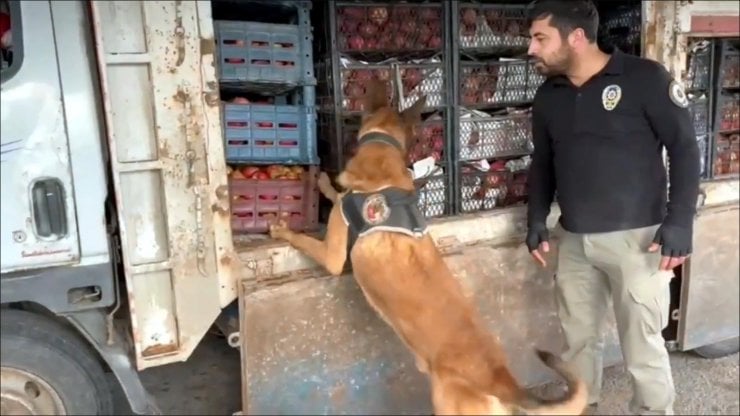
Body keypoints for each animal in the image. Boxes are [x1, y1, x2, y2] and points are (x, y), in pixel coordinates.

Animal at [268, 81, 588, 416]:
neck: (383, 156)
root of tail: (502, 380)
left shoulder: (333, 253)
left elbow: (309, 235)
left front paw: (284, 227)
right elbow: (337, 193)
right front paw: (325, 184)